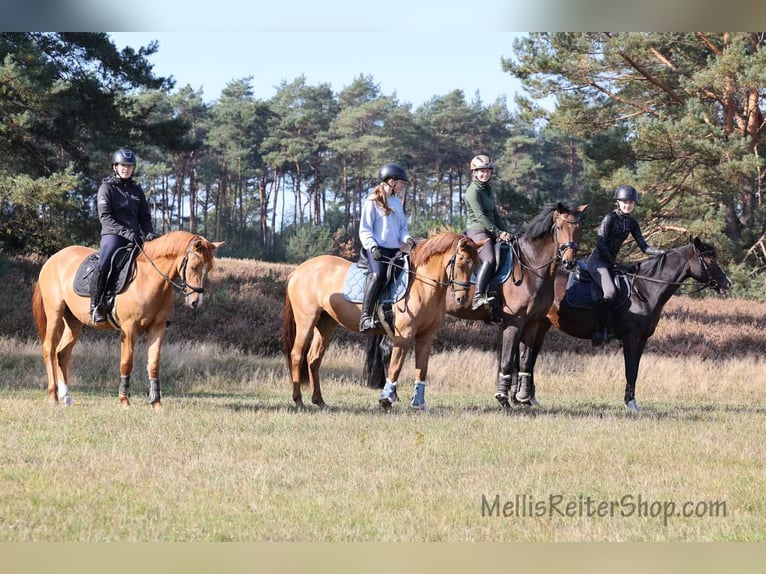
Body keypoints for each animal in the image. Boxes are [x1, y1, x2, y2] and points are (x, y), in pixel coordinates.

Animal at [31, 231, 223, 409]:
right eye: (194, 266)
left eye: (208, 269)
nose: (196, 302)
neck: (149, 278)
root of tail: (53, 259)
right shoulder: (129, 328)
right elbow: (126, 362)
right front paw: (124, 401)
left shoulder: (157, 328)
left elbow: (153, 364)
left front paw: (156, 403)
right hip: (55, 314)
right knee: (49, 349)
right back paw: (53, 396)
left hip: (74, 322)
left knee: (62, 353)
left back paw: (67, 398)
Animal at [282, 232, 483, 410]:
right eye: (462, 260)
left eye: (476, 264)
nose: (462, 299)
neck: (422, 285)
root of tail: (298, 270)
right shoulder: (404, 336)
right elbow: (395, 367)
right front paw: (386, 399)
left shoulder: (426, 337)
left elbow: (422, 370)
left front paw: (418, 404)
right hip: (306, 322)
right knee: (297, 355)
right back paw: (298, 400)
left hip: (325, 324)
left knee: (314, 358)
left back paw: (319, 401)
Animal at [365, 201, 588, 408]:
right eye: (559, 227)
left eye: (578, 228)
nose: (569, 262)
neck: (530, 266)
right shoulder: (514, 321)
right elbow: (508, 359)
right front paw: (503, 398)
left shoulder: (533, 323)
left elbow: (525, 359)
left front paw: (523, 398)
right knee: (389, 349)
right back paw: (392, 396)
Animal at [517, 236, 732, 411]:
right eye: (709, 260)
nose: (727, 283)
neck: (644, 289)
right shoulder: (631, 338)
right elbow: (631, 370)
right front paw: (631, 403)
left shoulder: (642, 340)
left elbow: (634, 369)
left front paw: (631, 401)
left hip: (542, 326)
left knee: (530, 357)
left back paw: (530, 399)